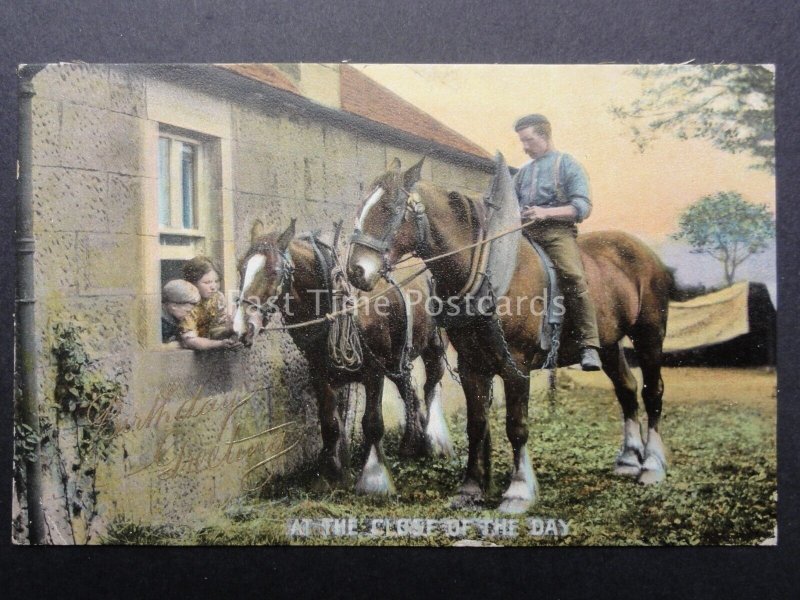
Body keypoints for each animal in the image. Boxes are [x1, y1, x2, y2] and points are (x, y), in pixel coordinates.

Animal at [234, 218, 454, 494]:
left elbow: (372, 423)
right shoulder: (321, 374)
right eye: (241, 268)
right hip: (397, 360)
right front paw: (331, 475)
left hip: (432, 346)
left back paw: (435, 440)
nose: (242, 327)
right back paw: (411, 443)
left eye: (274, 272)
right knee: (409, 392)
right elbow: (330, 425)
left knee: (431, 385)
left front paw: (374, 478)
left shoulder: (374, 372)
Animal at [346, 158, 672, 510]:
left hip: (649, 336)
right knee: (626, 389)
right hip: (609, 345)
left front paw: (519, 490)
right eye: (361, 204)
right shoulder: (472, 366)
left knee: (652, 392)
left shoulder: (517, 366)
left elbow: (517, 427)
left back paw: (651, 465)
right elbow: (476, 425)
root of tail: (645, 252)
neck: (490, 272)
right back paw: (628, 459)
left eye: (391, 207)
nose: (355, 271)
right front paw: (471, 488)